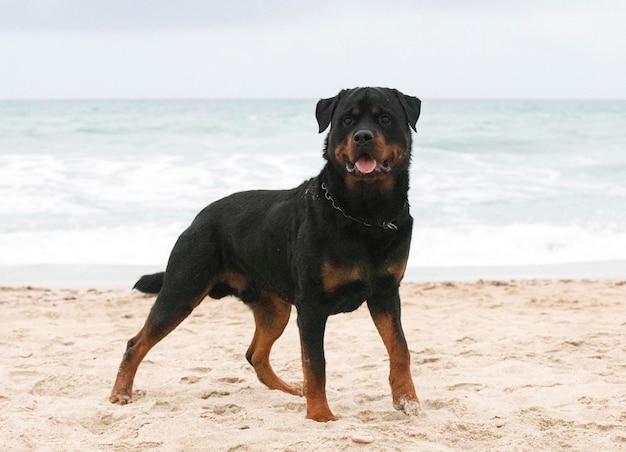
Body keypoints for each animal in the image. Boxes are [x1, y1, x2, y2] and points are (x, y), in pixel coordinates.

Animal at [110, 87, 422, 420]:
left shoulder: (386, 293)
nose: (362, 136)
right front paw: (320, 415)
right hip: (182, 289)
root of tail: (198, 218)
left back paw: (289, 389)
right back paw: (120, 393)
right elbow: (316, 363)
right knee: (136, 342)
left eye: (385, 118)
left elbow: (400, 348)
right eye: (347, 120)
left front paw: (407, 399)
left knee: (255, 354)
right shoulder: (311, 306)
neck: (365, 214)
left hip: (274, 307)